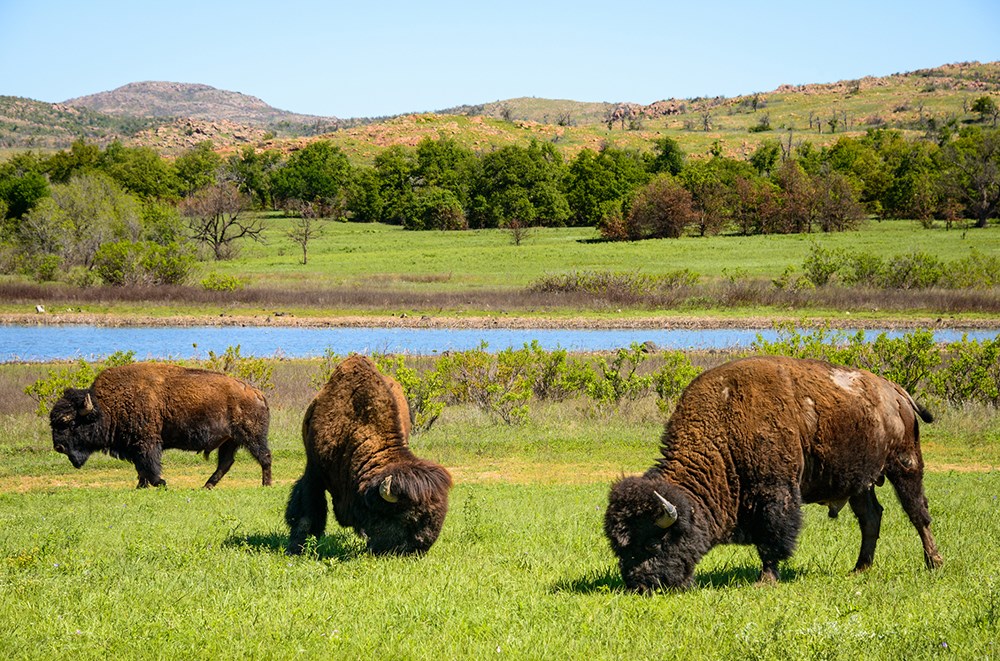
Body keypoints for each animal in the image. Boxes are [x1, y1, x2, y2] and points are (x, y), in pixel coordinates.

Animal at [49, 360, 272, 490]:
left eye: (68, 422)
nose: (58, 446)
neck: (107, 405)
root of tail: (256, 393)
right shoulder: (135, 445)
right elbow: (141, 467)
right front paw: (142, 486)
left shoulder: (146, 442)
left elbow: (149, 464)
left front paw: (161, 483)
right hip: (230, 441)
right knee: (225, 463)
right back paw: (206, 486)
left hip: (251, 437)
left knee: (264, 456)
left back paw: (266, 485)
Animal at [284, 354, 452, 556]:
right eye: (408, 518)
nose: (420, 548)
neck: (353, 427)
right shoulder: (314, 471)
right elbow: (308, 511)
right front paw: (297, 548)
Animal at [604, 356, 940, 592]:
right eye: (619, 548)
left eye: (651, 543)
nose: (640, 586)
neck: (725, 427)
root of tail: (896, 392)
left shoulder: (775, 494)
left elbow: (772, 538)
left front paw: (765, 579)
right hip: (860, 482)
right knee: (871, 517)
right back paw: (860, 568)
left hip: (905, 465)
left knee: (917, 513)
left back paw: (933, 563)